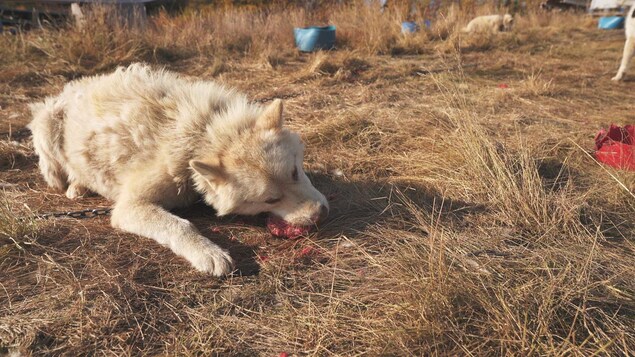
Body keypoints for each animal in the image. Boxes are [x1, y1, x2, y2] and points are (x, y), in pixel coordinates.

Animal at [28, 64, 330, 276]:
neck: (200, 134)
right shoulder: (128, 207)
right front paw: (208, 253)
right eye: (270, 200)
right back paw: (75, 186)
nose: (320, 214)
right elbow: (179, 225)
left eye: (295, 172)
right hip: (45, 129)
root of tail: (66, 91)